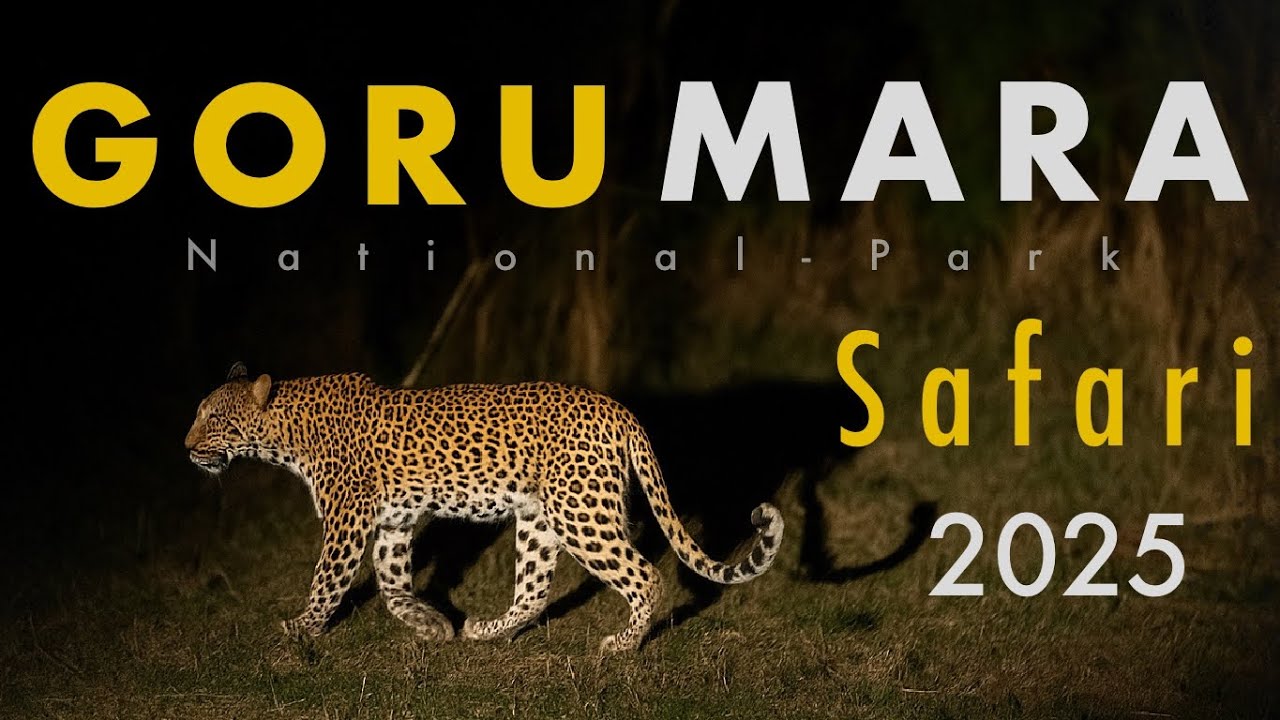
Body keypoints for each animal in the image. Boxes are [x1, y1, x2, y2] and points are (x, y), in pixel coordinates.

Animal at [184, 362, 784, 653]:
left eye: (214, 419)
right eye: (199, 414)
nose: (186, 447)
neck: (286, 433)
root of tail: (620, 410)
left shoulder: (346, 520)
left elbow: (327, 580)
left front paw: (300, 629)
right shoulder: (394, 522)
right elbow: (393, 582)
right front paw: (430, 625)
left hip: (581, 512)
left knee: (645, 576)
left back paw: (620, 647)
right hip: (540, 518)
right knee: (536, 589)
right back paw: (486, 633)